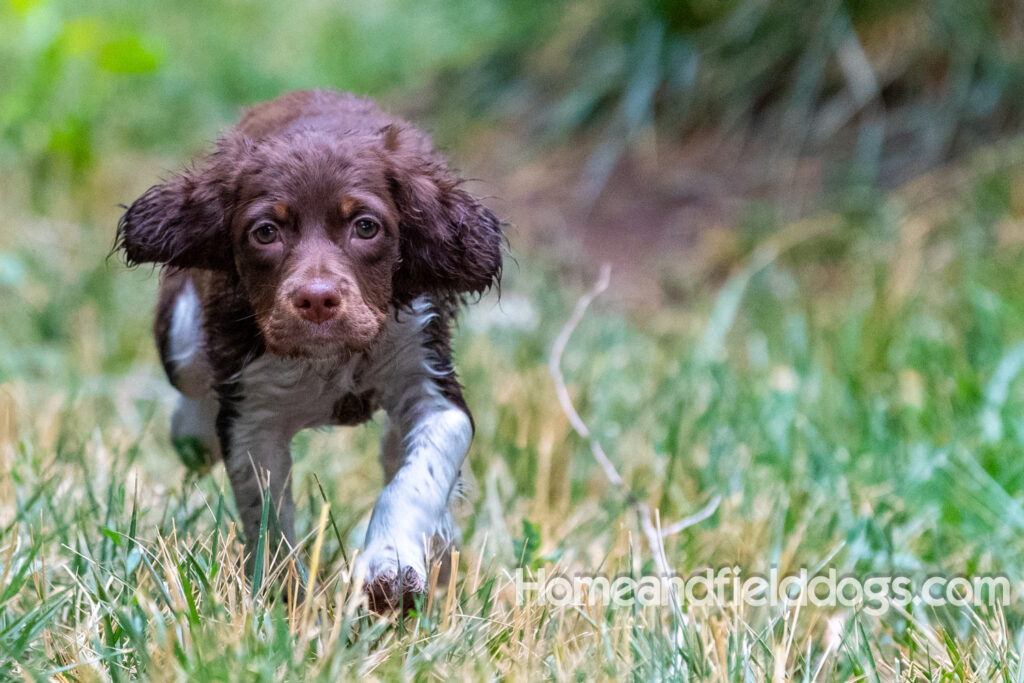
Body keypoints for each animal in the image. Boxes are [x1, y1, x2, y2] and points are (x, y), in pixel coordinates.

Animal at [116, 89, 503, 610]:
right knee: (193, 399)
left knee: (395, 450)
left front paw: (390, 566)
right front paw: (285, 597)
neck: (330, 361)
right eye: (265, 232)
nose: (317, 299)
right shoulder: (252, 415)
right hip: (182, 333)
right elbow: (267, 514)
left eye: (366, 227)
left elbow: (417, 478)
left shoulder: (431, 383)